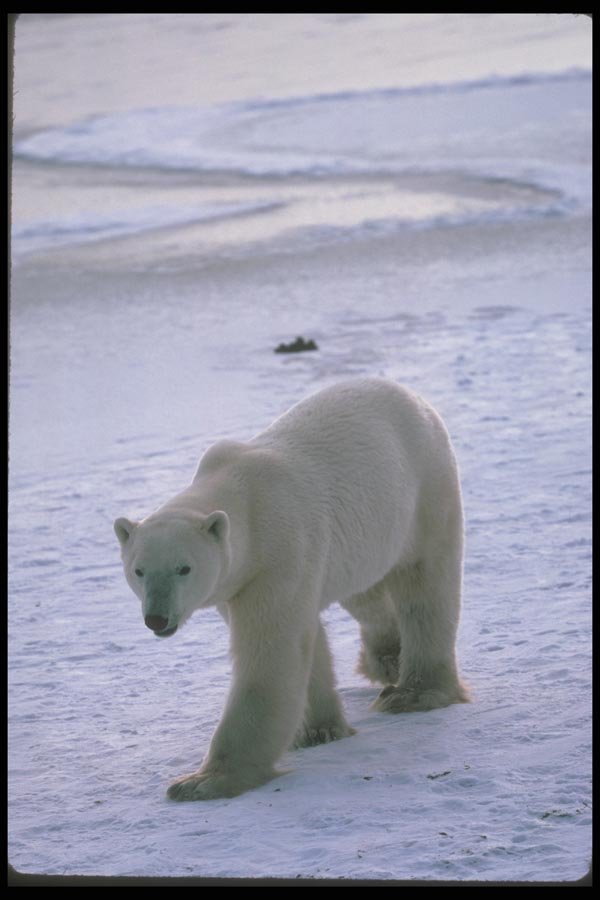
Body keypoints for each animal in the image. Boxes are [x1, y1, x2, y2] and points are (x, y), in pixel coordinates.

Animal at [114, 377, 468, 801]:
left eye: (184, 568)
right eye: (139, 570)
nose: (156, 618)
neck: (244, 495)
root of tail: (409, 394)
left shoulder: (279, 553)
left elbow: (272, 650)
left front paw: (202, 781)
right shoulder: (239, 581)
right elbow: (305, 640)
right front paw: (318, 730)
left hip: (424, 491)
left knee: (424, 584)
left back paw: (413, 693)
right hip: (365, 535)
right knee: (363, 594)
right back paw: (386, 659)